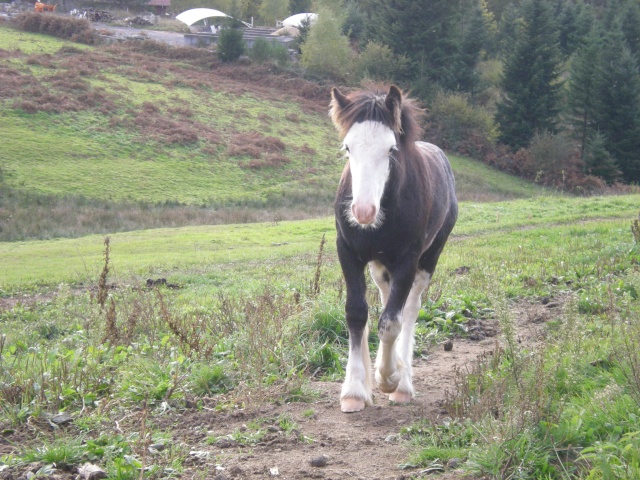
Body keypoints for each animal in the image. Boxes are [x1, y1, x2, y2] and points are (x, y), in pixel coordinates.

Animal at [330, 83, 456, 412]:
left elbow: (391, 322)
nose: (362, 211)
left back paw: (403, 382)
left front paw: (389, 378)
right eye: (348, 148)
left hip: (427, 259)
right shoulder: (348, 252)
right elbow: (357, 313)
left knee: (409, 309)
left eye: (390, 149)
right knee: (386, 296)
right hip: (379, 264)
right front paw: (355, 390)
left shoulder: (407, 260)